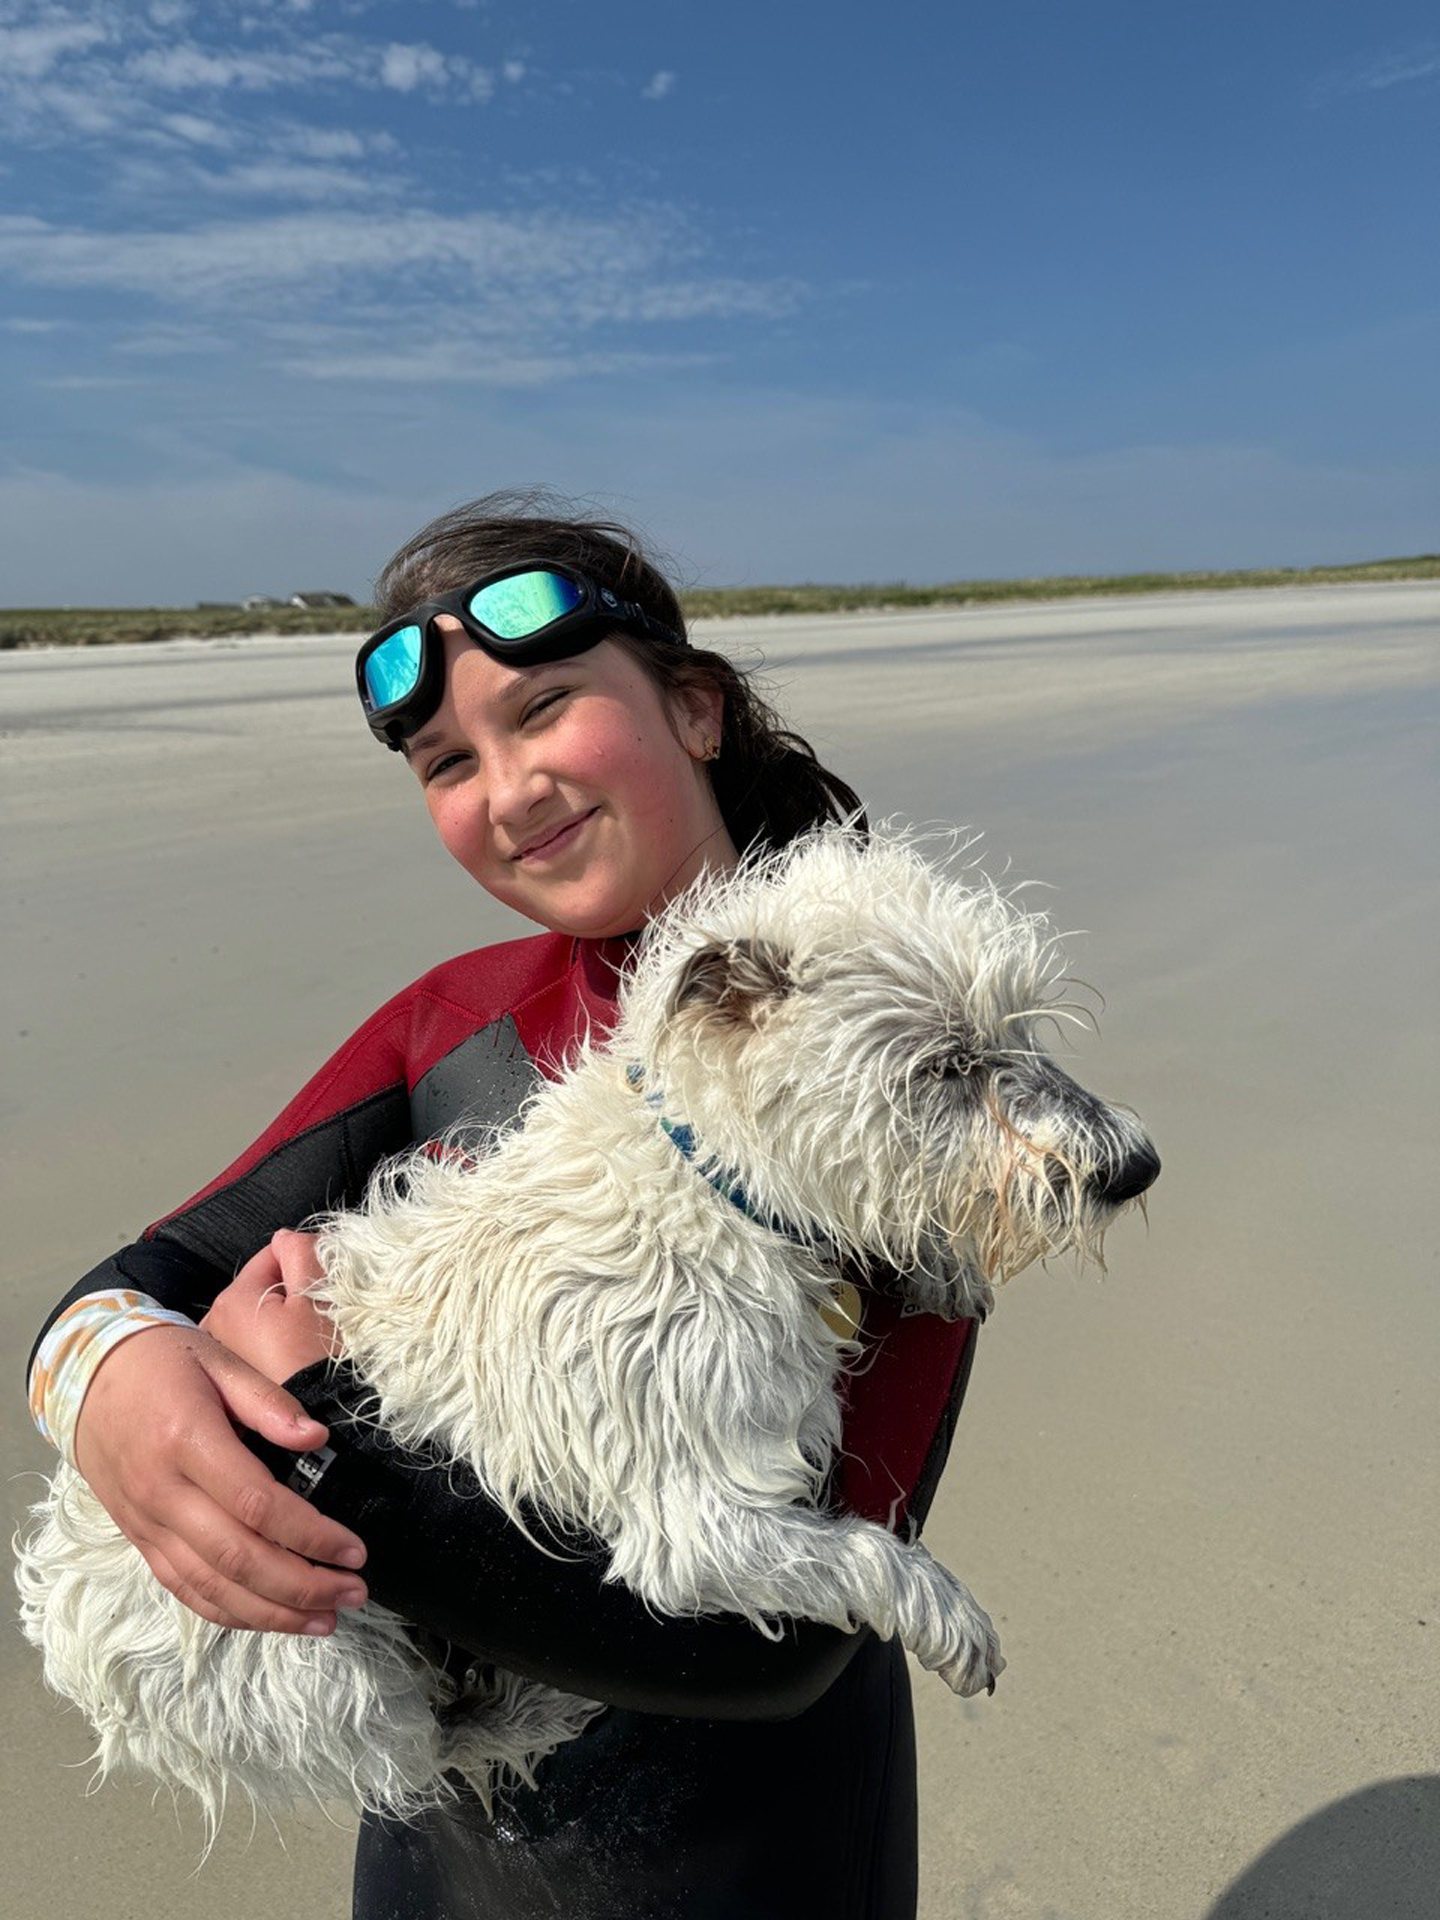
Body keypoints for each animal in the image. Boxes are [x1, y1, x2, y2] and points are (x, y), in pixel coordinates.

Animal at [14, 821, 1159, 1827]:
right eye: (947, 1066)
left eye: (1014, 1034)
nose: (1137, 1166)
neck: (718, 1188)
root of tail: (61, 1633)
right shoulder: (699, 1523)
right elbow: (871, 1557)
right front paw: (954, 1619)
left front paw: (933, 1265)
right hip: (315, 1653)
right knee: (423, 1750)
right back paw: (532, 1707)